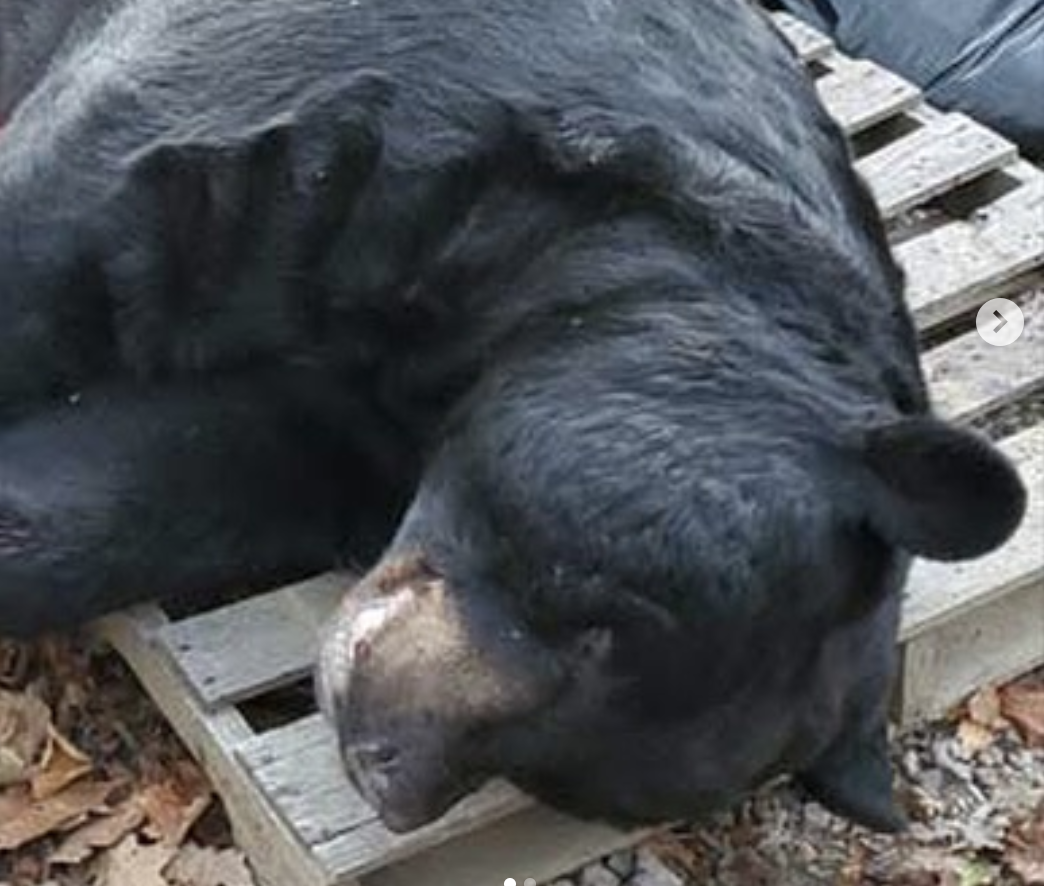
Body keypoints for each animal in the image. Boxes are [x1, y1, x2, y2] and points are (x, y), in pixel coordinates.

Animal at [0, 0, 1027, 834]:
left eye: (553, 780)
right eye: (604, 617)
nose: (386, 774)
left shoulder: (357, 424)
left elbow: (183, 474)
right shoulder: (338, 114)